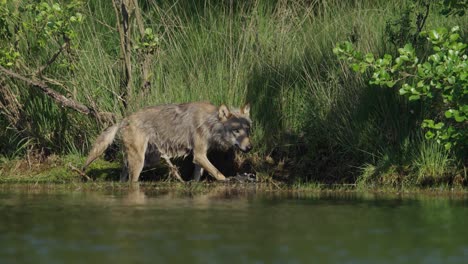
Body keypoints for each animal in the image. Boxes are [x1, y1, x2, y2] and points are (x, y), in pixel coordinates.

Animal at [84, 102, 252, 183]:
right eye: (236, 131)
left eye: (248, 130)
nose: (250, 147)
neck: (209, 122)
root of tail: (124, 119)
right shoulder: (199, 155)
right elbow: (219, 174)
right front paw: (229, 181)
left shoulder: (199, 157)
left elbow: (197, 177)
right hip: (139, 162)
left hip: (146, 160)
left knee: (123, 175)